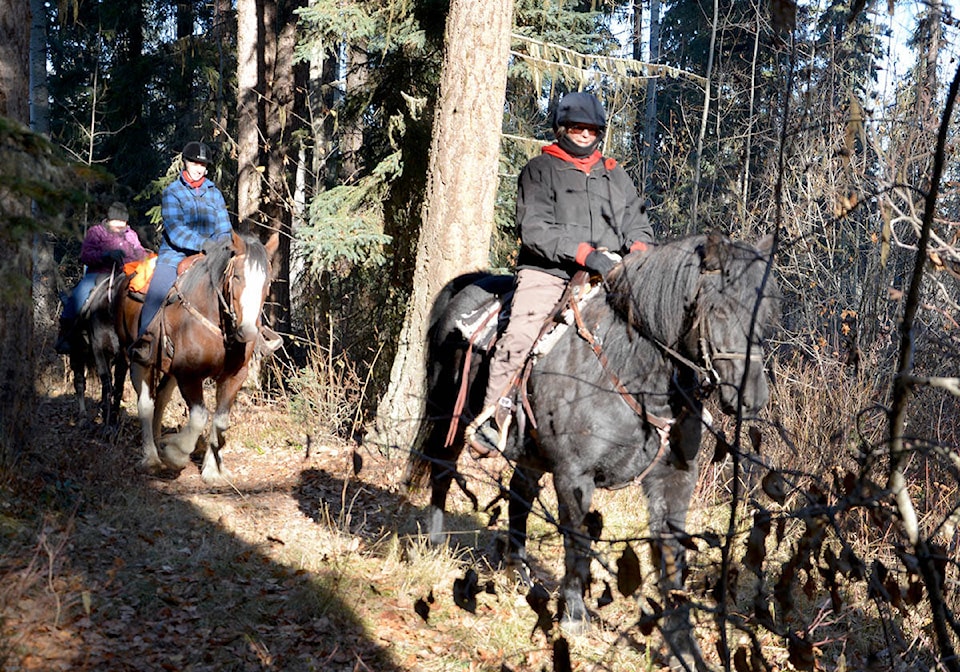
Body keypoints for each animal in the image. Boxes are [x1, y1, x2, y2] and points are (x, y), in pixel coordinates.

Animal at [64, 272, 129, 426]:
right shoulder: (99, 351)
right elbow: (107, 383)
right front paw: (106, 417)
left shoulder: (121, 358)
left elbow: (118, 386)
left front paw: (113, 418)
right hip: (77, 356)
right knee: (79, 382)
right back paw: (82, 416)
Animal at [116, 231, 280, 484]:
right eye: (237, 277)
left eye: (267, 282)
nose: (248, 332)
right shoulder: (189, 374)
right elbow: (199, 416)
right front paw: (175, 453)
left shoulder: (234, 377)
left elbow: (220, 421)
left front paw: (213, 470)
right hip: (138, 359)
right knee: (146, 404)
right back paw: (152, 458)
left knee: (161, 398)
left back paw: (158, 442)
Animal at [404, 231, 780, 668]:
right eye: (719, 310)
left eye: (764, 312)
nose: (751, 398)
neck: (632, 368)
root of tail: (468, 284)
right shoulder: (574, 476)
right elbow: (578, 543)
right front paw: (574, 615)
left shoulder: (673, 480)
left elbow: (672, 561)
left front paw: (683, 647)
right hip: (448, 412)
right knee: (442, 468)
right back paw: (433, 544)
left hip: (530, 450)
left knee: (519, 493)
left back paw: (520, 573)